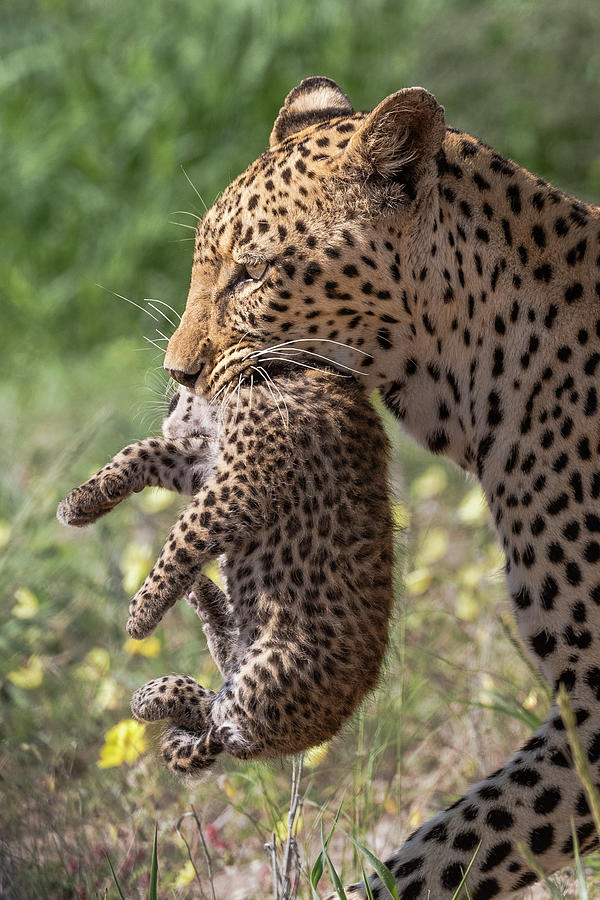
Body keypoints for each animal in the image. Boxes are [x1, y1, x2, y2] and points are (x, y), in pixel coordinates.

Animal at [57, 368, 394, 772]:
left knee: (220, 718)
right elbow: (144, 449)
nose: (172, 399)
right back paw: (206, 598)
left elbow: (187, 531)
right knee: (221, 678)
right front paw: (80, 502)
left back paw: (152, 695)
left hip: (274, 668)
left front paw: (142, 612)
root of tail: (324, 731)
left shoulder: (242, 485)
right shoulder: (209, 461)